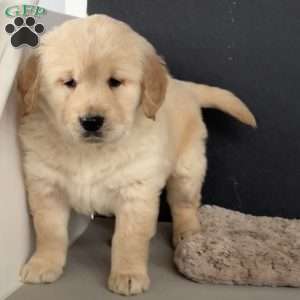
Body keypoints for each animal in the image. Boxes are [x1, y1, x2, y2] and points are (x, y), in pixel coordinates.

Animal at [17, 14, 255, 296]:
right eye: (69, 82)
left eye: (115, 82)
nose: (91, 121)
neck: (90, 152)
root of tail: (183, 86)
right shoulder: (46, 186)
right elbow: (49, 231)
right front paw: (43, 264)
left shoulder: (137, 190)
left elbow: (130, 238)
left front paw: (128, 274)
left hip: (188, 168)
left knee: (184, 204)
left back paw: (187, 233)